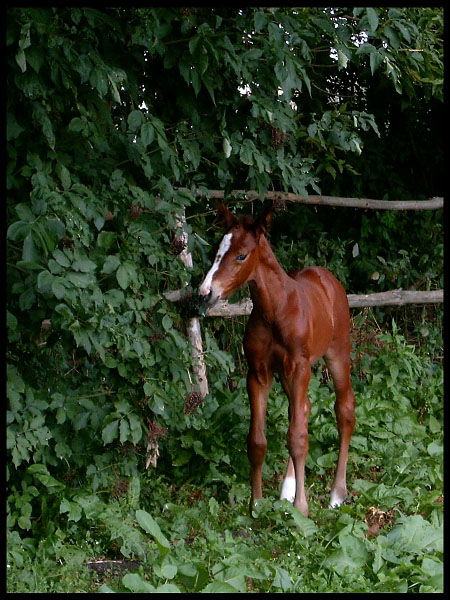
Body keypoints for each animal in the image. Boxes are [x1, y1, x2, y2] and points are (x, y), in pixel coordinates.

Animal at [199, 202, 356, 516]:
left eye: (241, 255)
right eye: (216, 252)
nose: (206, 292)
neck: (275, 310)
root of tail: (328, 278)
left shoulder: (300, 368)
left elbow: (297, 438)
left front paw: (302, 509)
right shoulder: (258, 372)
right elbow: (258, 441)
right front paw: (256, 504)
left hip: (337, 354)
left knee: (344, 410)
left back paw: (336, 493)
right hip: (286, 374)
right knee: (304, 409)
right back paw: (287, 488)